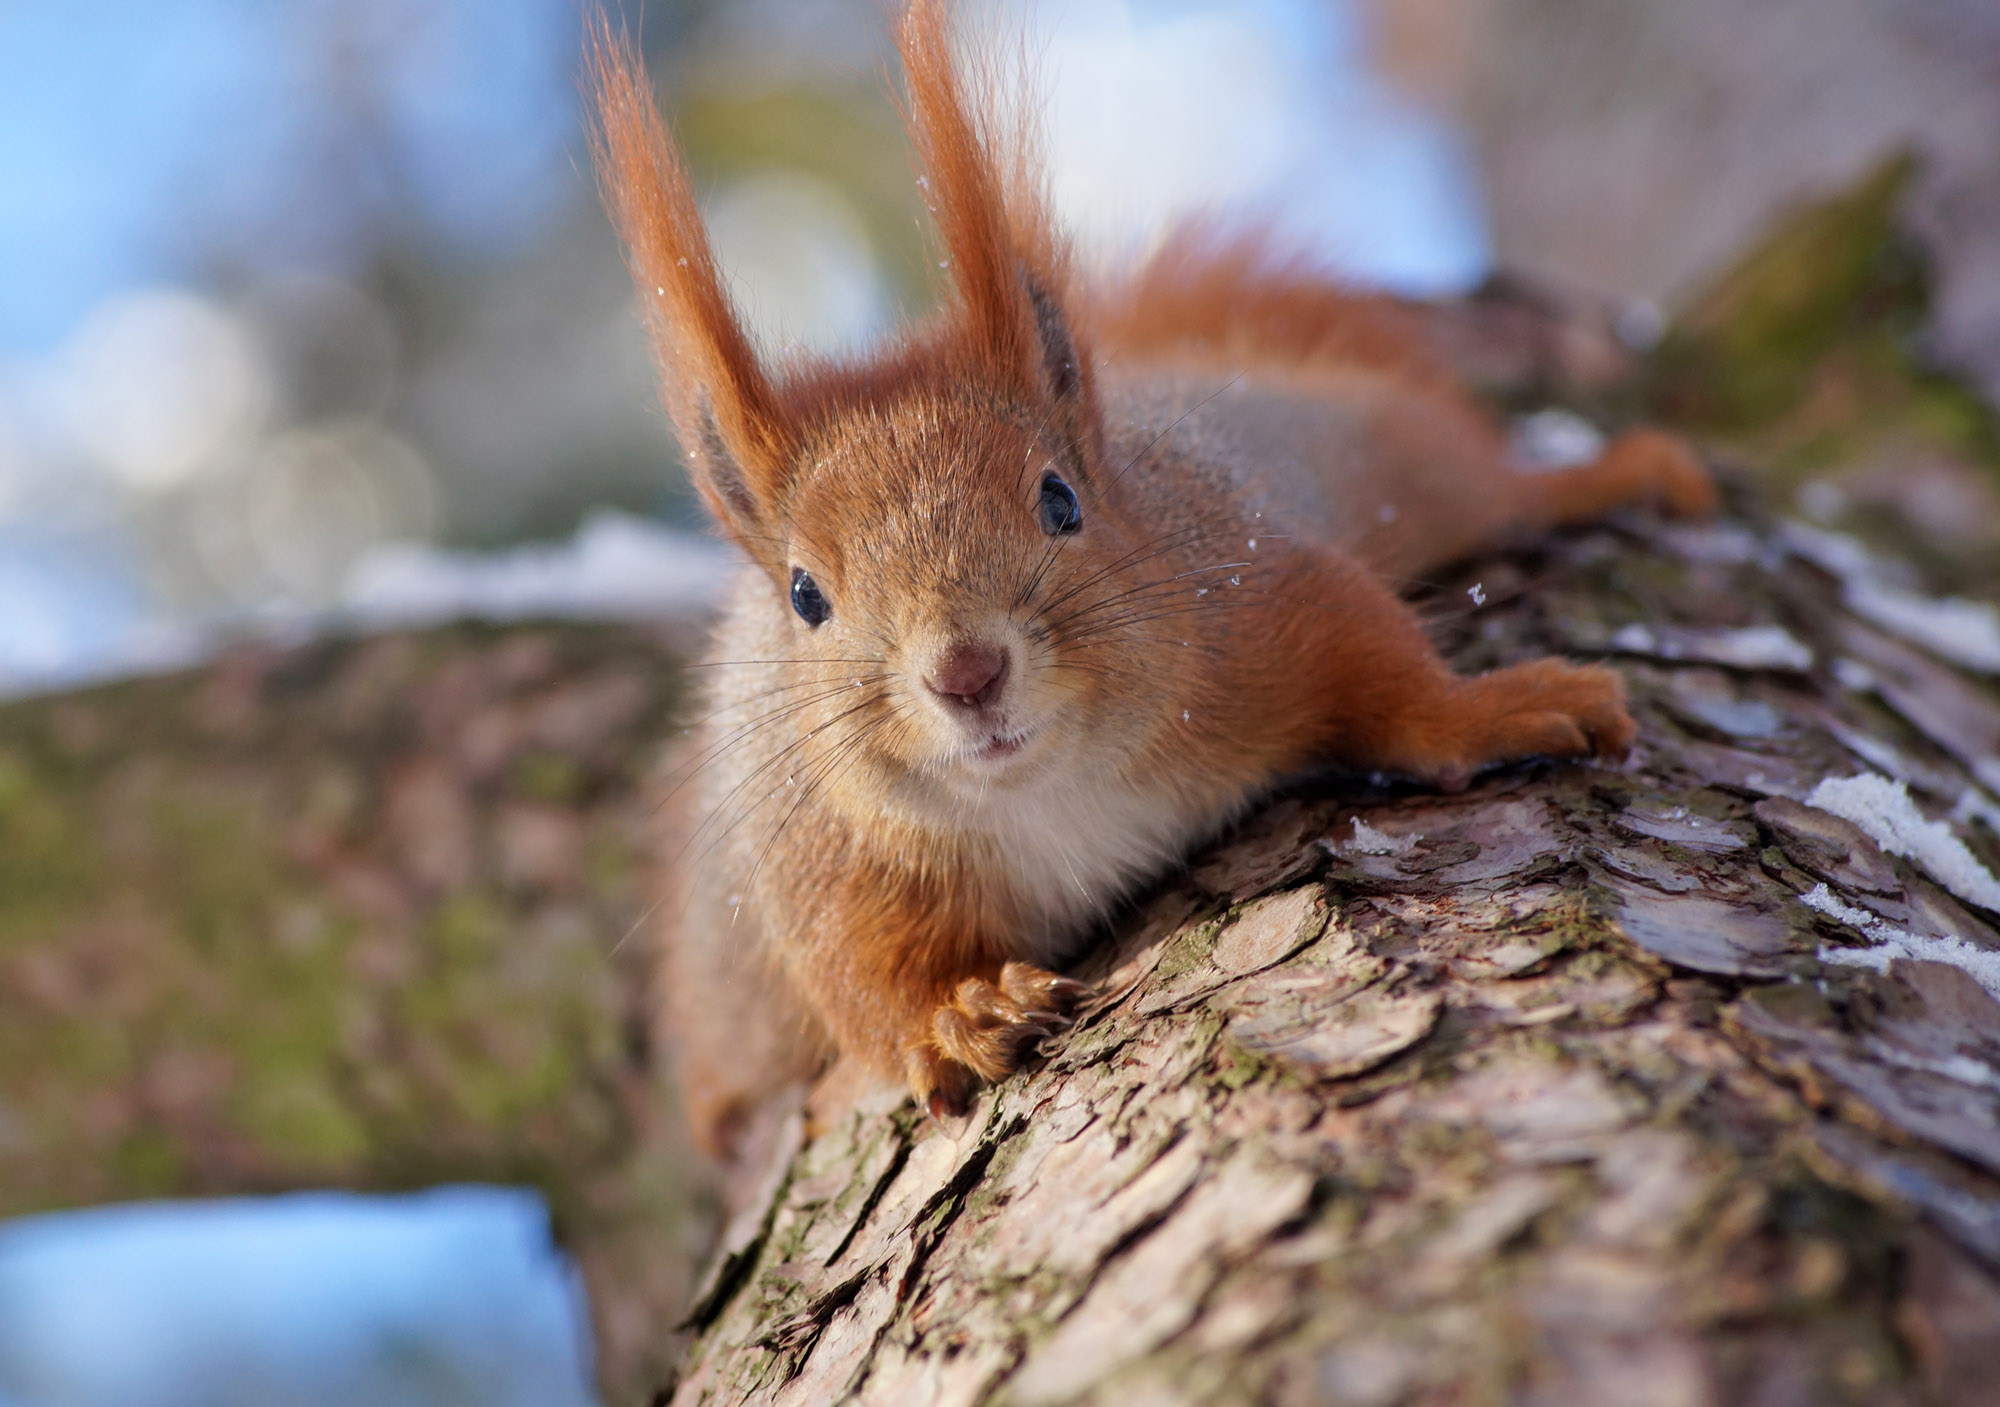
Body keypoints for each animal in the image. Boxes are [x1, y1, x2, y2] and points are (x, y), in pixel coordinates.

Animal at [584, 0, 1720, 1159]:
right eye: (805, 596)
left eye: (1060, 501)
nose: (966, 672)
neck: (1048, 788)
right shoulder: (817, 857)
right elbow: (861, 981)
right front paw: (956, 1014)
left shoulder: (1251, 594)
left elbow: (1385, 673)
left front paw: (1496, 708)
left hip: (1384, 450)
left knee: (1485, 482)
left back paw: (1616, 475)